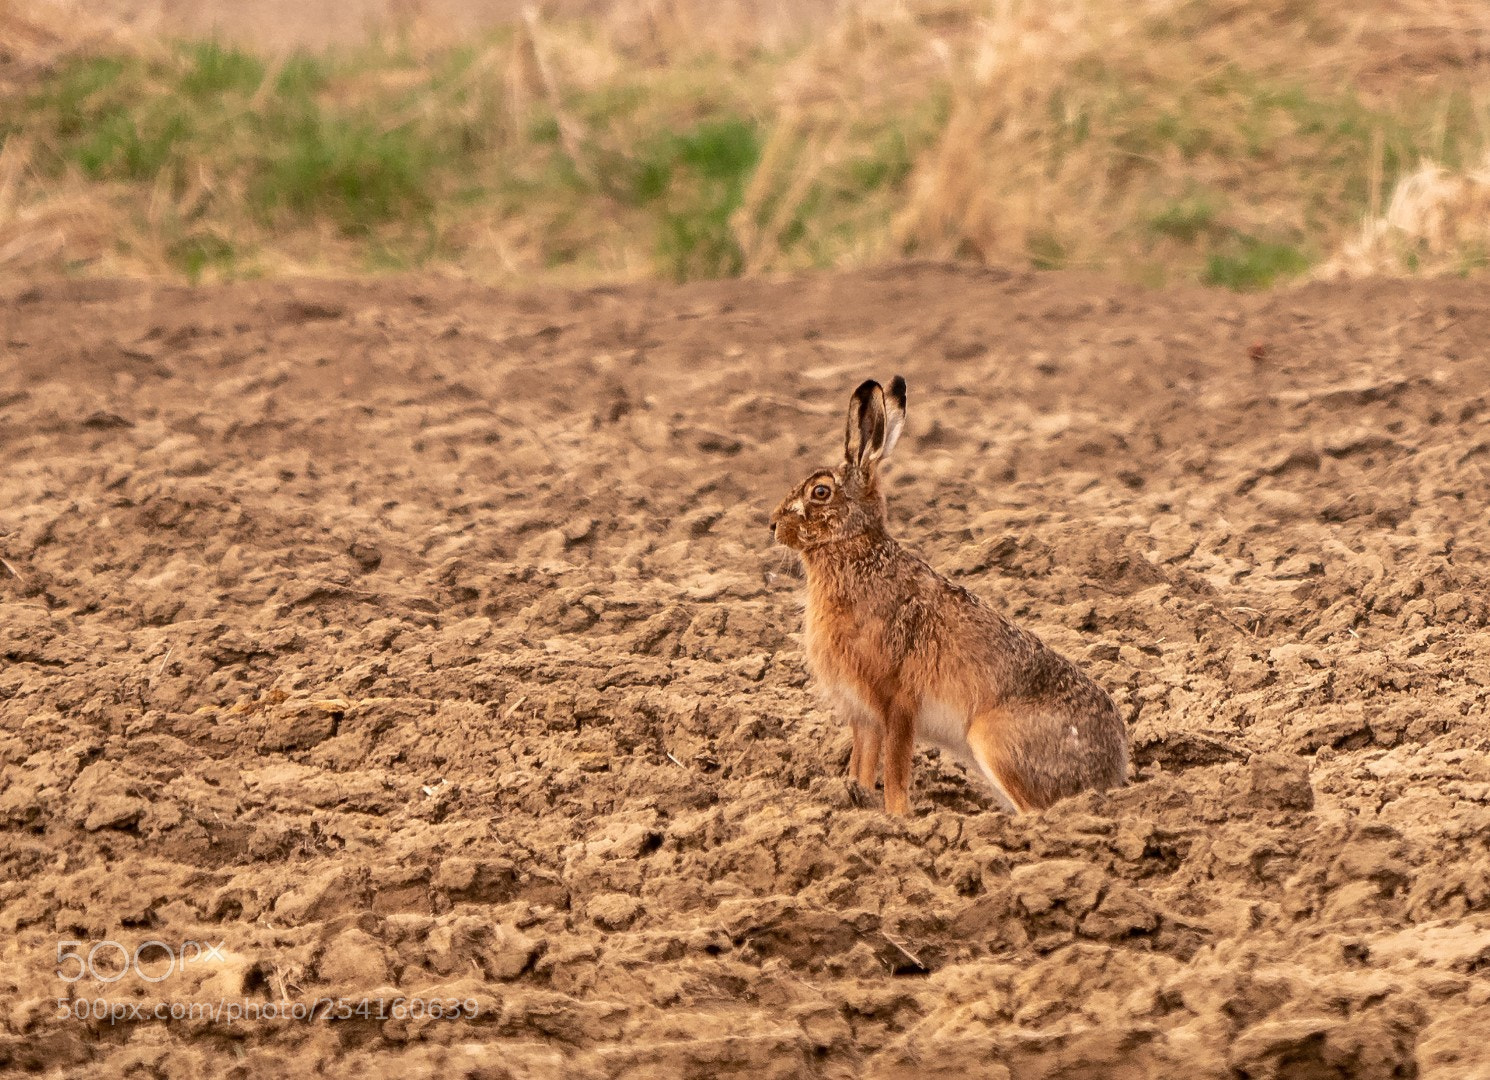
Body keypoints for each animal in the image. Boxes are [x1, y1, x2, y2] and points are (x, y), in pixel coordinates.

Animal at [769, 376, 1129, 815]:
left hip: (995, 742)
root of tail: (1112, 776)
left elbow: (895, 768)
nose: (772, 525)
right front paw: (855, 800)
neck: (857, 553)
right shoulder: (863, 712)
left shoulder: (898, 702)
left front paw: (897, 816)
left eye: (820, 492)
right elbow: (861, 763)